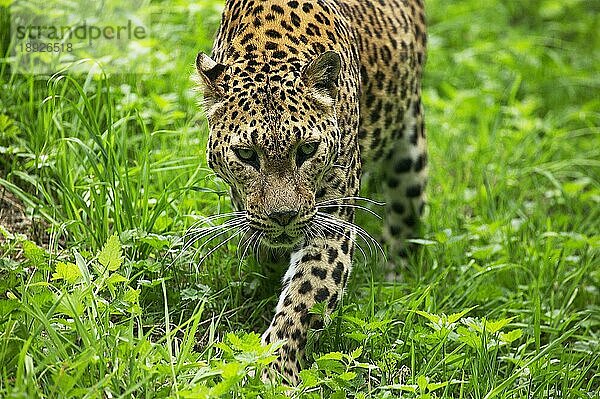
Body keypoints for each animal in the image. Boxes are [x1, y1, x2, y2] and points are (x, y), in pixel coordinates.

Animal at [196, 0, 426, 386]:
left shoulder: (331, 224)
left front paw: (272, 373)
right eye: (246, 155)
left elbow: (304, 295)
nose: (284, 217)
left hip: (411, 156)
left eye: (306, 150)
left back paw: (395, 278)